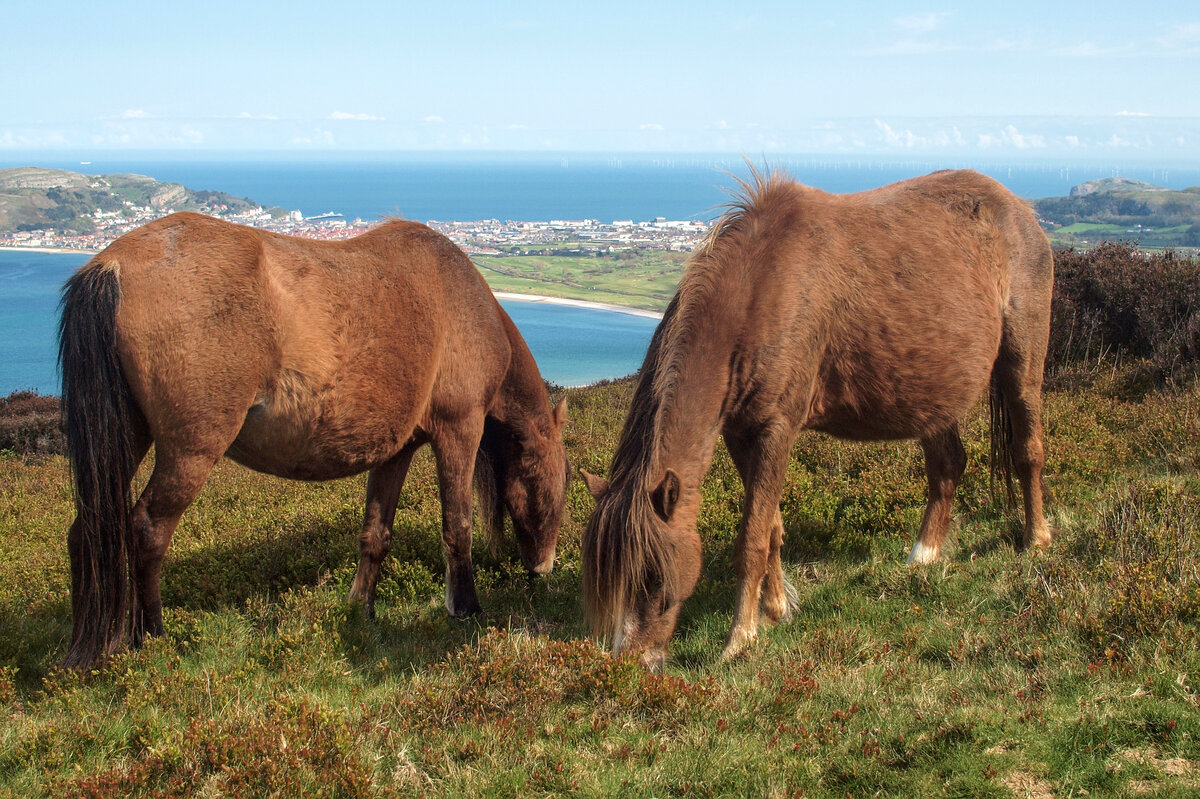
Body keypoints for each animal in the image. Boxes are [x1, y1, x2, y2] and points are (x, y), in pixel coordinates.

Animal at [58, 212, 569, 669]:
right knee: (147, 529)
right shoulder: (459, 429)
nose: (544, 567)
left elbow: (376, 534)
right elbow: (458, 526)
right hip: (191, 451)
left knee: (88, 530)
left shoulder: (396, 450)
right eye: (560, 486)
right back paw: (153, 635)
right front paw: (464, 607)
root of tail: (113, 264)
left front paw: (361, 609)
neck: (465, 307)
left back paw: (92, 648)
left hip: (128, 436)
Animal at [581, 169, 1053, 670]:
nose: (631, 663)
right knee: (948, 465)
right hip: (930, 393)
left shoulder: (777, 430)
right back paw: (923, 557)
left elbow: (752, 539)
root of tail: (1018, 208)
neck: (759, 292)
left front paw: (740, 639)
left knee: (1027, 451)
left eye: (653, 575)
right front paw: (776, 610)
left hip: (1022, 360)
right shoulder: (740, 435)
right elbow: (771, 526)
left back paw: (1036, 540)